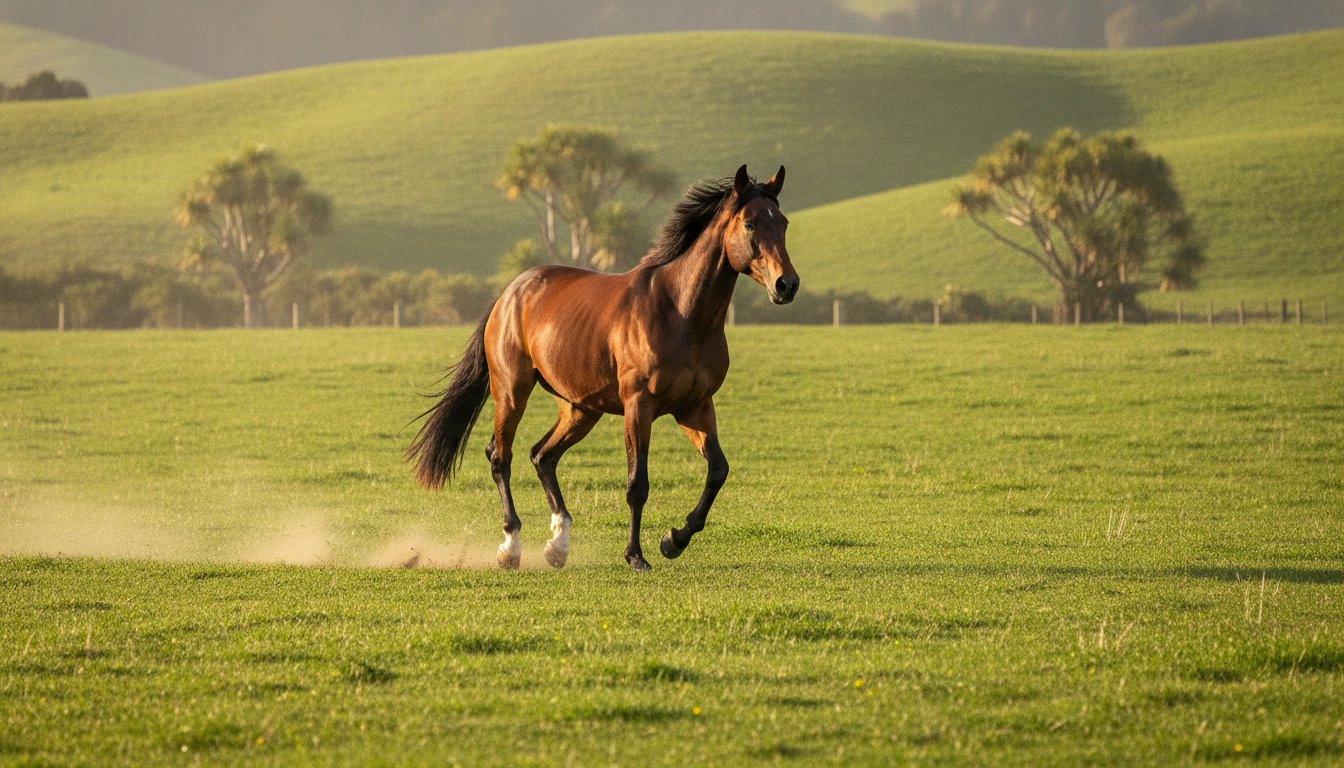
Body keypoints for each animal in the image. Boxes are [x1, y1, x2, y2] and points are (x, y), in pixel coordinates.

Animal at [406, 164, 798, 571]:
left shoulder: (695, 406)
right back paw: (511, 548)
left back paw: (558, 545)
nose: (786, 284)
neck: (681, 313)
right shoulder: (639, 406)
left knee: (542, 456)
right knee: (501, 456)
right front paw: (636, 555)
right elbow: (637, 484)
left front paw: (673, 540)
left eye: (783, 222)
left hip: (580, 409)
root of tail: (509, 294)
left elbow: (718, 471)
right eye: (750, 224)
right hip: (512, 393)